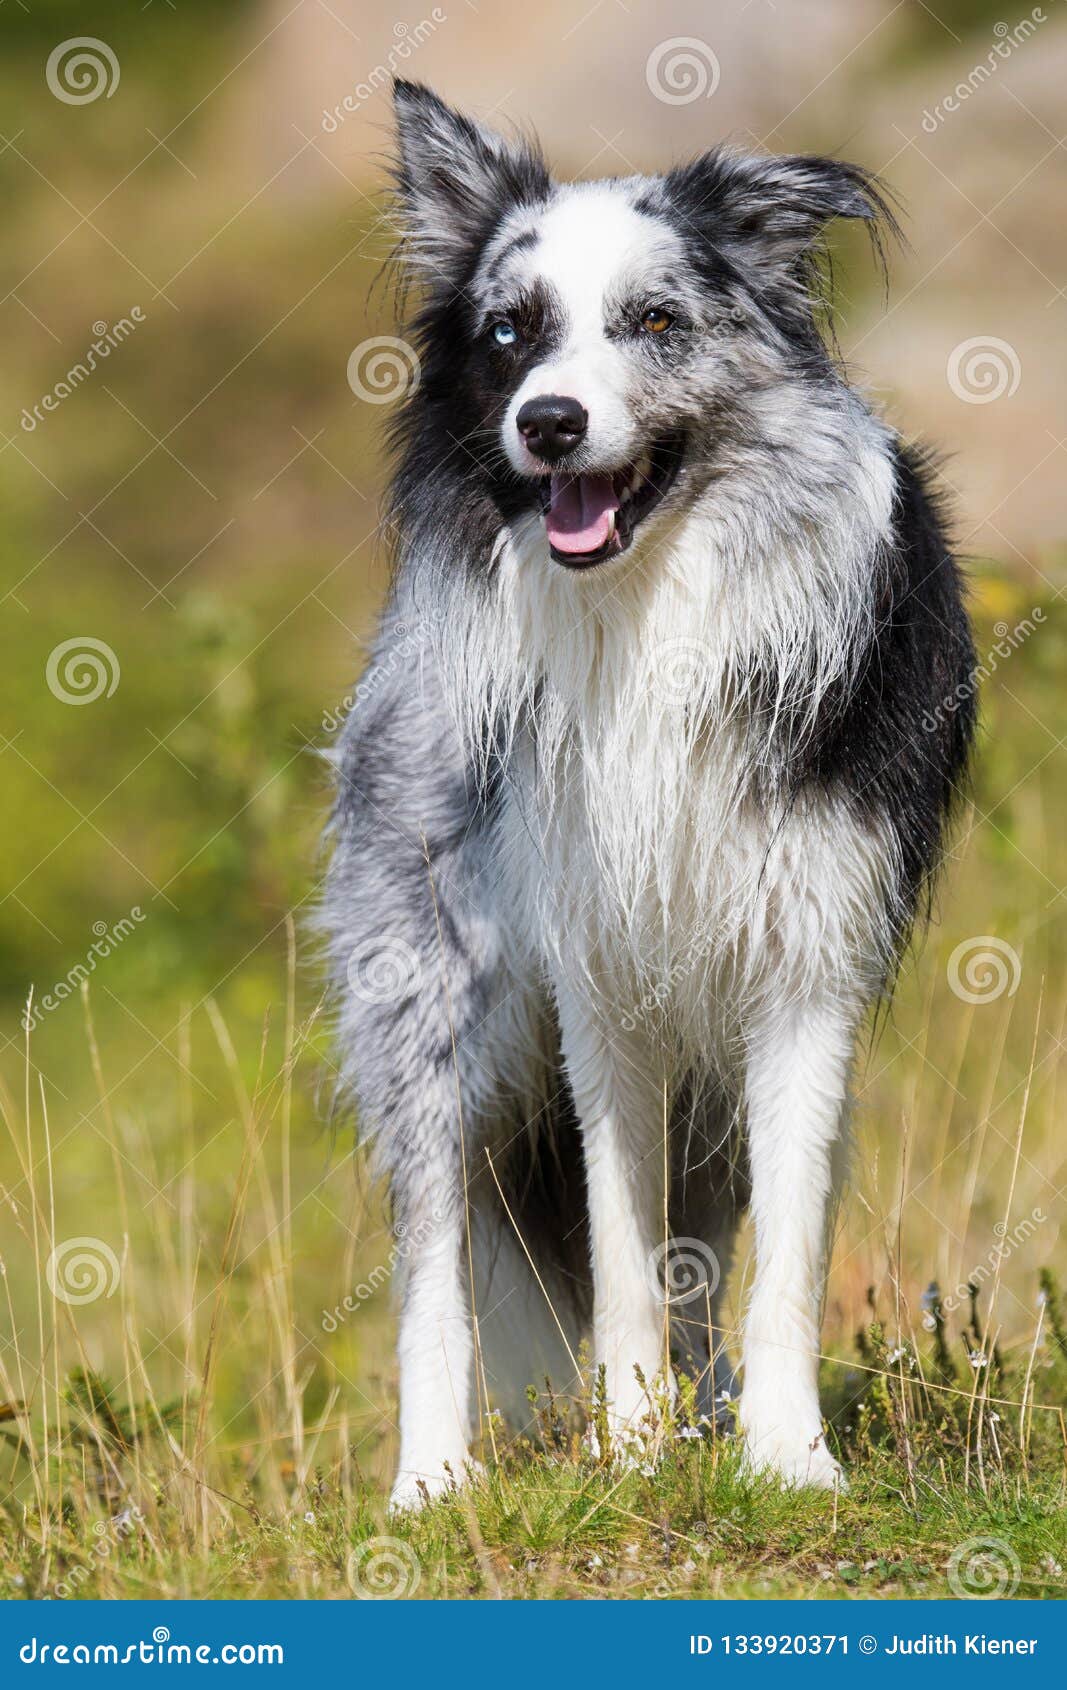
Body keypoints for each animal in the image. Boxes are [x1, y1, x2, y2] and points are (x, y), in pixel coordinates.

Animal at [322, 82, 973, 1507]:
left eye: (657, 322)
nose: (548, 423)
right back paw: (430, 1480)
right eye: (510, 332)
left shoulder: (802, 963)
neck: (648, 608)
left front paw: (786, 1456)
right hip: (434, 999)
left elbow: (779, 1250)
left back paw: (707, 1405)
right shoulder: (594, 973)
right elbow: (617, 1249)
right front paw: (627, 1449)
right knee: (439, 1260)